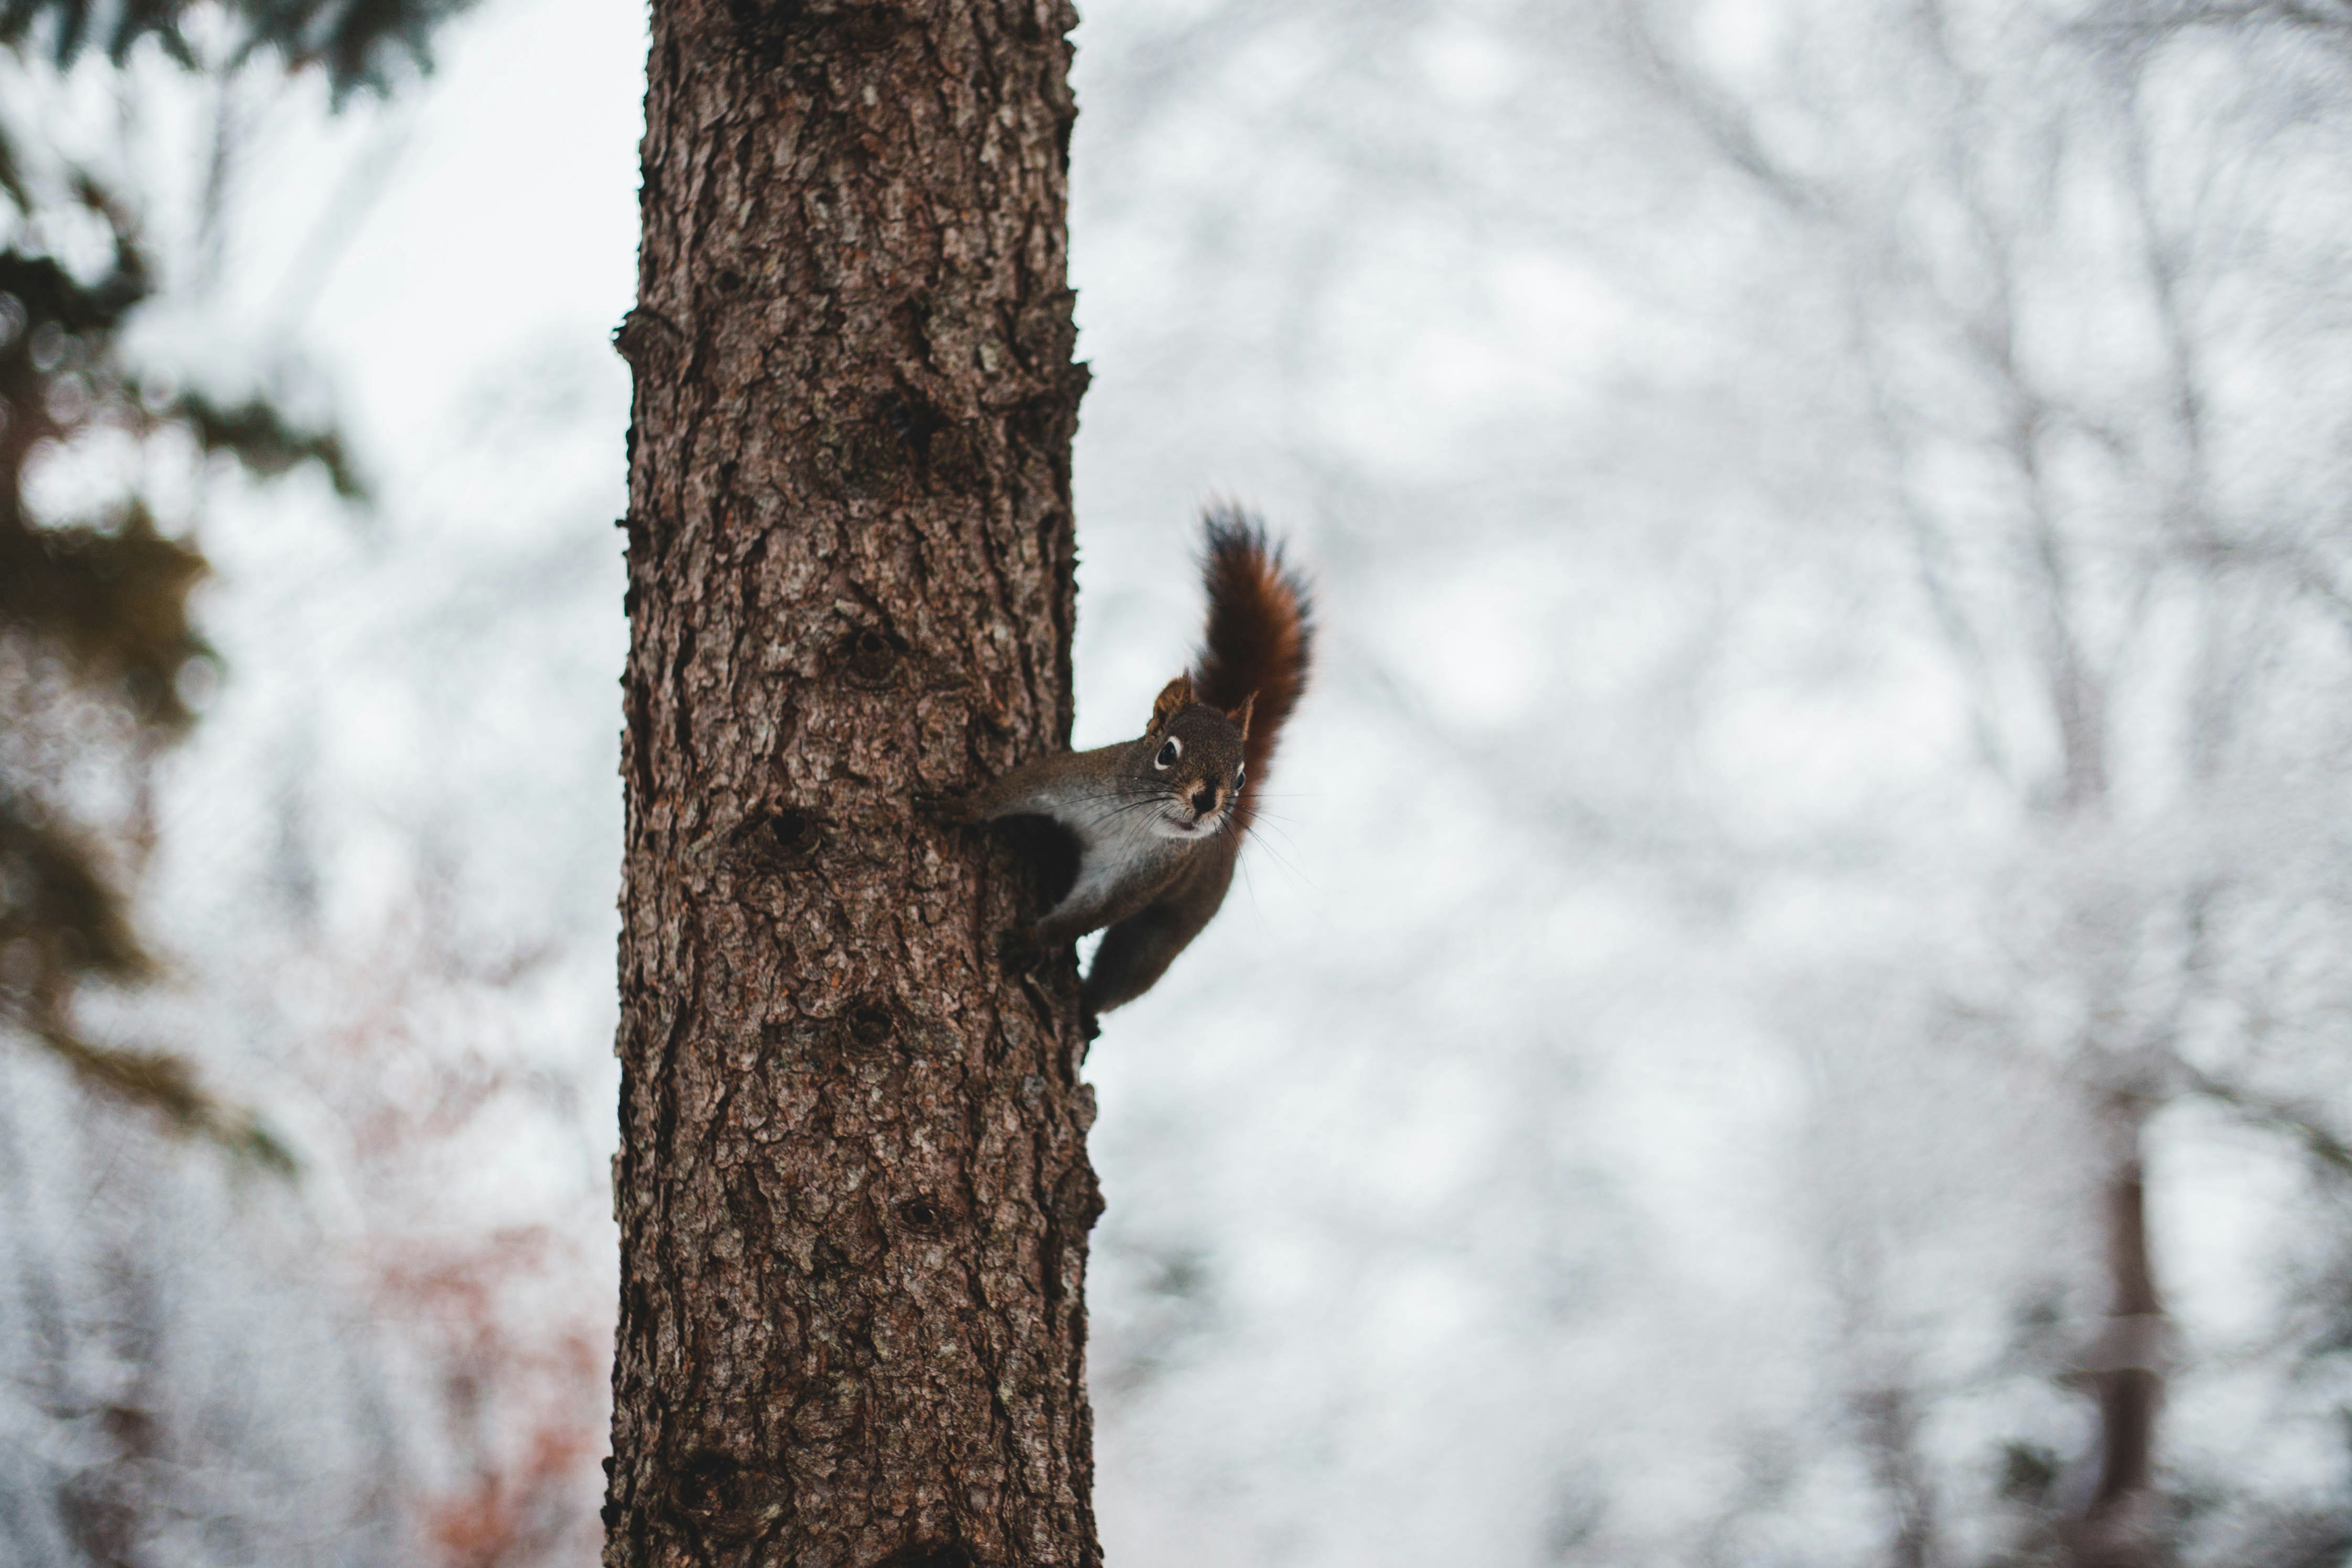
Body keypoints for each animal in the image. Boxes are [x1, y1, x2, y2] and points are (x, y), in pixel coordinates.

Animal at [945, 510, 1317, 1025]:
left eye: (1241, 777)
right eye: (1167, 753)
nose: (1207, 800)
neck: (1134, 822)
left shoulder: (1141, 879)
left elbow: (1087, 913)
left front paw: (1030, 941)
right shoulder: (1073, 778)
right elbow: (1017, 786)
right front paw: (964, 808)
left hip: (1163, 934)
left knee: (1128, 970)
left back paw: (1086, 1008)